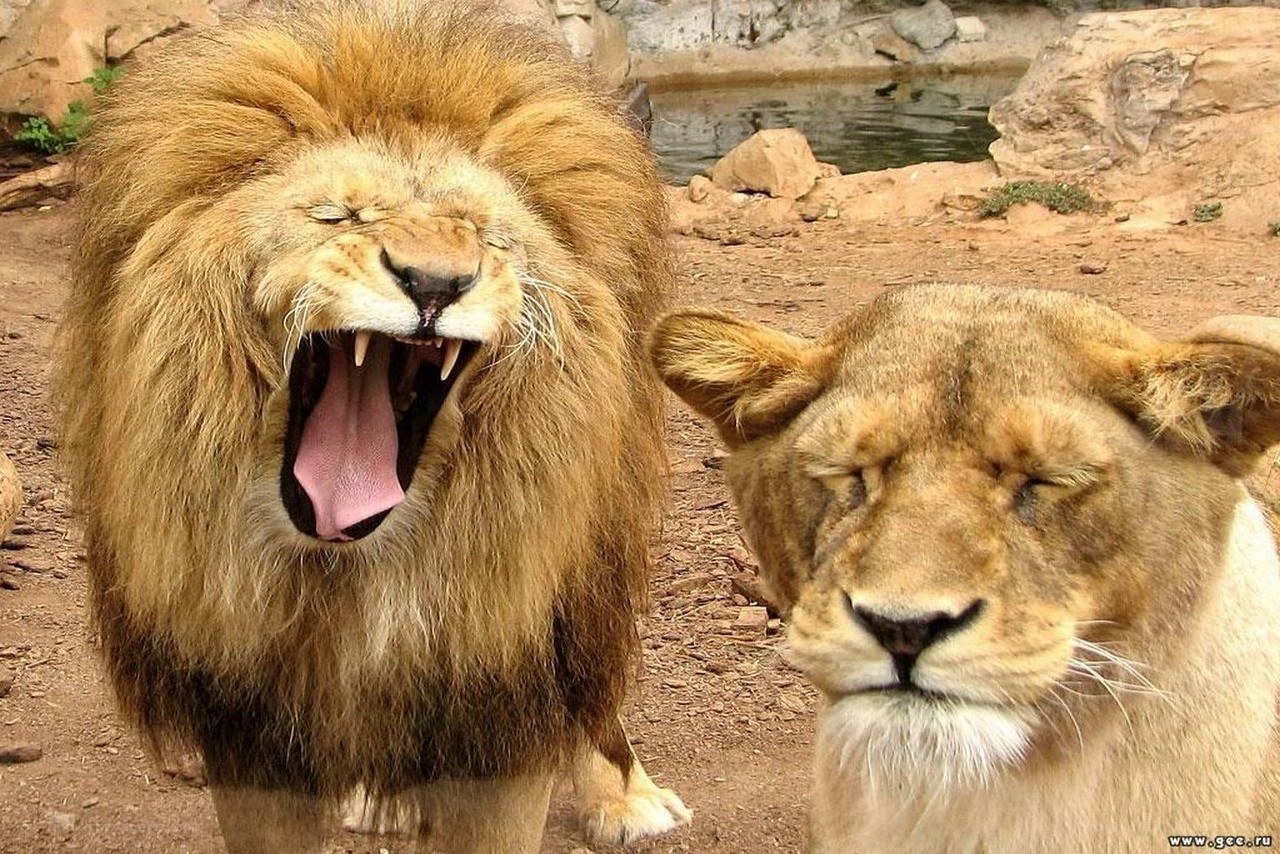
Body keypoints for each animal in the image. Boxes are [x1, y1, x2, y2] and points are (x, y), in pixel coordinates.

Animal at [55, 2, 690, 850]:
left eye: (486, 234)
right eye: (339, 215)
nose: (434, 284)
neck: (347, 575)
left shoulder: (499, 703)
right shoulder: (249, 729)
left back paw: (628, 796)